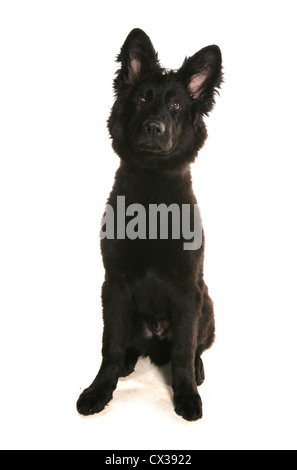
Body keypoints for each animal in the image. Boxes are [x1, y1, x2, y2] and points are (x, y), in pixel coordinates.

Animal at [77, 27, 222, 420]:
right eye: (141, 98)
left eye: (176, 106)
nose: (154, 127)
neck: (152, 188)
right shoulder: (114, 284)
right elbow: (110, 347)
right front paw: (100, 389)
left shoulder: (188, 289)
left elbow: (183, 351)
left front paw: (186, 394)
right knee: (126, 345)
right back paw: (129, 362)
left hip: (206, 303)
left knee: (193, 347)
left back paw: (197, 370)